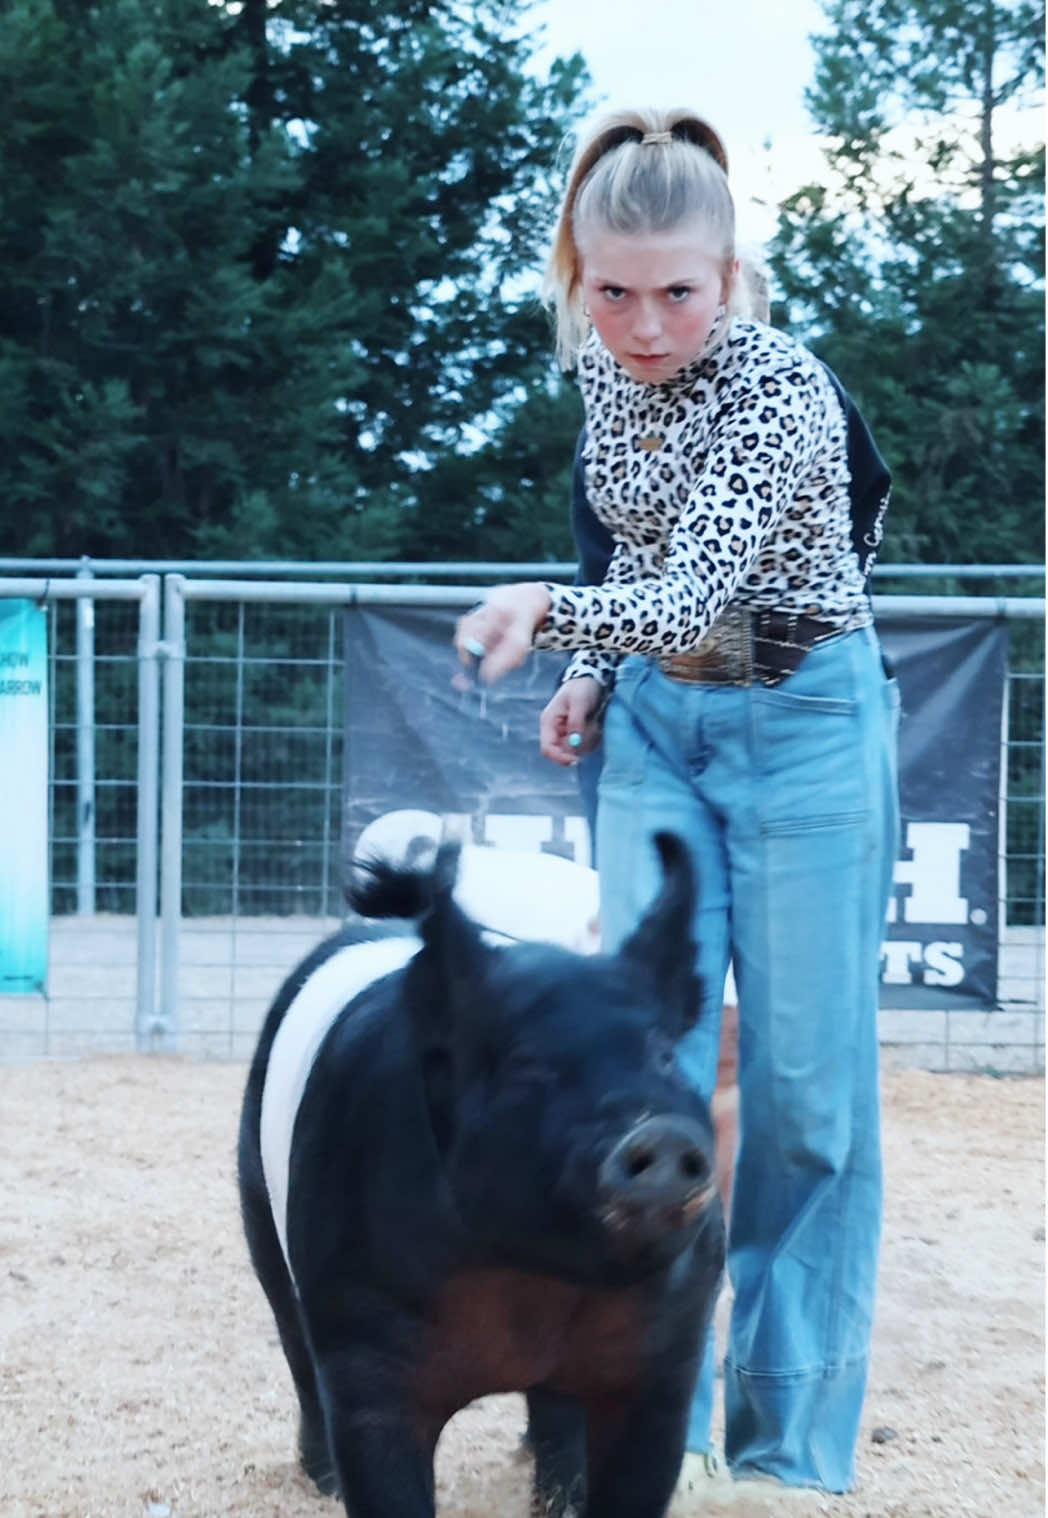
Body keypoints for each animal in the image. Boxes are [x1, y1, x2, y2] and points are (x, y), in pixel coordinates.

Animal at [237, 832, 725, 1518]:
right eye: (524, 1063)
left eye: (662, 1054)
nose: (660, 1132)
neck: (537, 1282)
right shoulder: (366, 1362)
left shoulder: (664, 1362)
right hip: (260, 1214)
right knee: (295, 1347)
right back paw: (323, 1481)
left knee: (554, 1413)